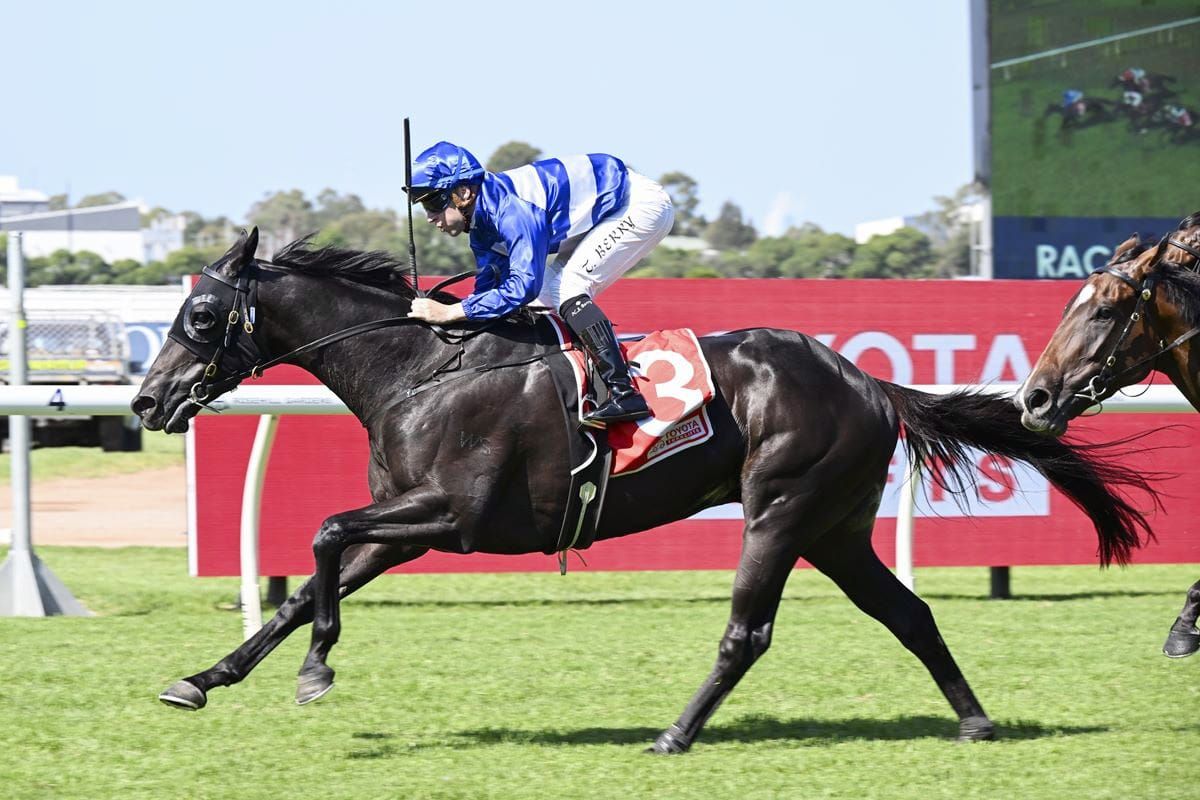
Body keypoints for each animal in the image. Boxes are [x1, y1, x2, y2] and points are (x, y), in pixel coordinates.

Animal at [133, 228, 1157, 753]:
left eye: (201, 314)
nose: (146, 400)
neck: (420, 367)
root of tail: (868, 381)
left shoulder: (451, 516)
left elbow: (321, 533)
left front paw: (316, 671)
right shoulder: (404, 527)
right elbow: (307, 582)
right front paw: (203, 679)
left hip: (780, 507)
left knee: (749, 631)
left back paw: (673, 734)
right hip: (836, 527)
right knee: (908, 613)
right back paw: (976, 721)